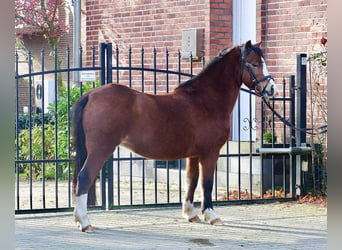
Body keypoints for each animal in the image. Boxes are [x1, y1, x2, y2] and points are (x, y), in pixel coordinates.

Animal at [71, 40, 276, 231]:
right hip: (101, 150)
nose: (272, 88)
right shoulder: (210, 153)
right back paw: (85, 222)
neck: (205, 100)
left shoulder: (194, 155)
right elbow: (207, 183)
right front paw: (211, 215)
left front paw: (190, 214)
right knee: (85, 177)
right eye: (255, 63)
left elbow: (191, 180)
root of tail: (90, 95)